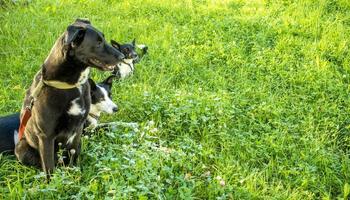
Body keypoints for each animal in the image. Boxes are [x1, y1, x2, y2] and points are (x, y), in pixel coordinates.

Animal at [14, 19, 124, 178]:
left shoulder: (77, 130)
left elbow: (73, 155)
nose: (122, 57)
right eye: (98, 43)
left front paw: (74, 176)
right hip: (21, 147)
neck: (70, 85)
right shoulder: (46, 136)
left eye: (103, 39)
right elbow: (49, 168)